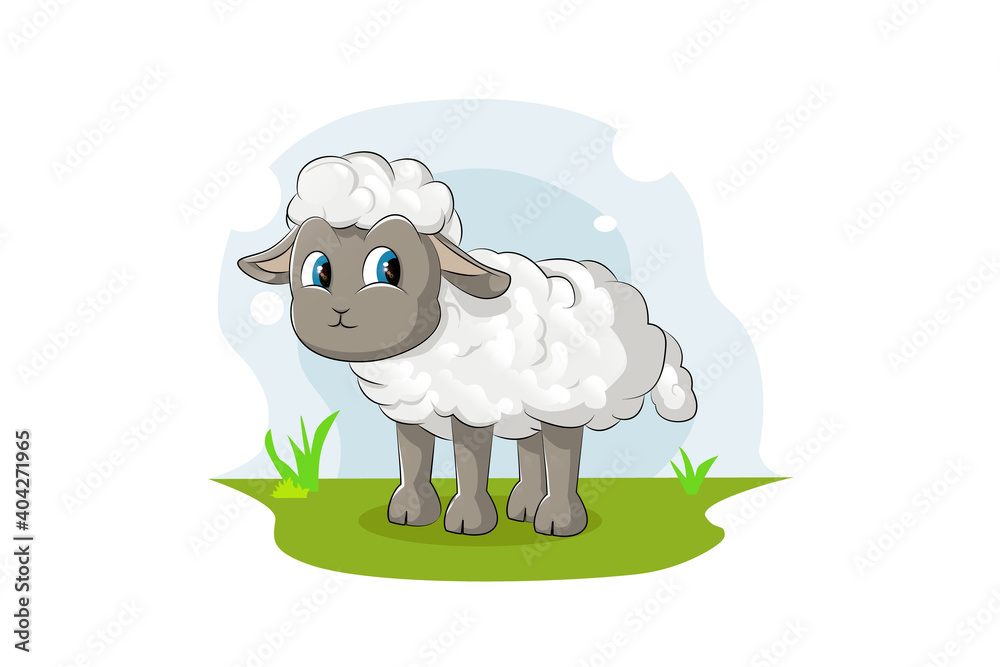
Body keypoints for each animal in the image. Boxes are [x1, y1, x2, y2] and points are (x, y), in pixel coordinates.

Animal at [238, 152, 696, 537]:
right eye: (319, 270)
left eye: (389, 268)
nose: (337, 310)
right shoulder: (410, 405)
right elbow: (413, 458)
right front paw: (410, 513)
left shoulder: (473, 405)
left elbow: (470, 462)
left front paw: (468, 522)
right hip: (526, 406)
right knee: (531, 448)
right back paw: (524, 507)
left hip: (564, 401)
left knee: (561, 450)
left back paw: (557, 521)